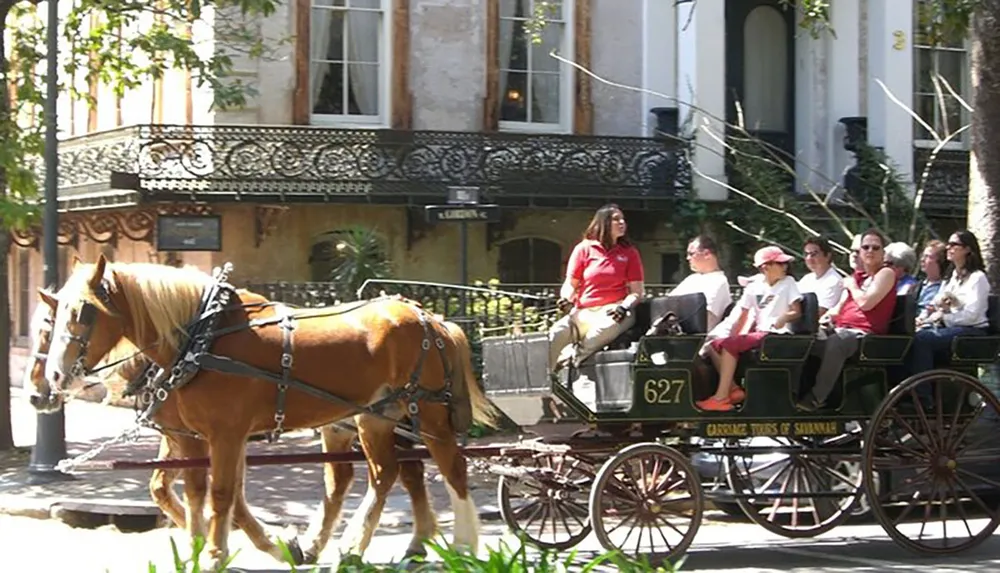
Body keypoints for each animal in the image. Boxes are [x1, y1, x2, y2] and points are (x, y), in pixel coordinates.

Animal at [37, 256, 498, 568]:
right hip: (380, 416)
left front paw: (217, 551)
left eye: (84, 312)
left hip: (424, 413)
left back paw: (455, 544)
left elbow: (223, 493)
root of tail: (431, 318)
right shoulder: (192, 436)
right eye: (53, 317)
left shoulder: (226, 433)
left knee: (441, 469)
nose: (52, 380)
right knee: (388, 473)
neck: (201, 338)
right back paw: (397, 543)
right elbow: (195, 491)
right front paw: (200, 546)